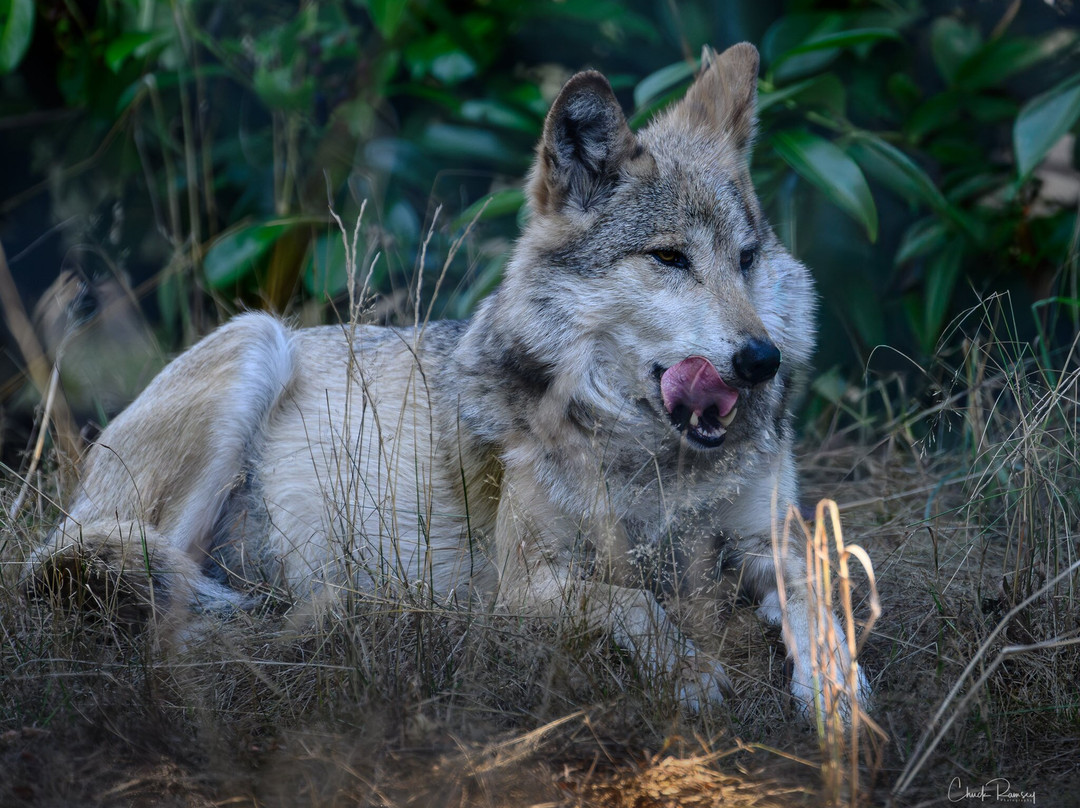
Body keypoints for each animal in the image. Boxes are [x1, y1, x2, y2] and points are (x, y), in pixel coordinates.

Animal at [24, 43, 869, 714]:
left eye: (746, 259)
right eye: (669, 258)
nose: (762, 359)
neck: (655, 463)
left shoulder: (770, 540)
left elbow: (820, 598)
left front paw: (834, 689)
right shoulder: (523, 586)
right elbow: (633, 603)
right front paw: (690, 675)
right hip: (254, 344)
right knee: (129, 592)